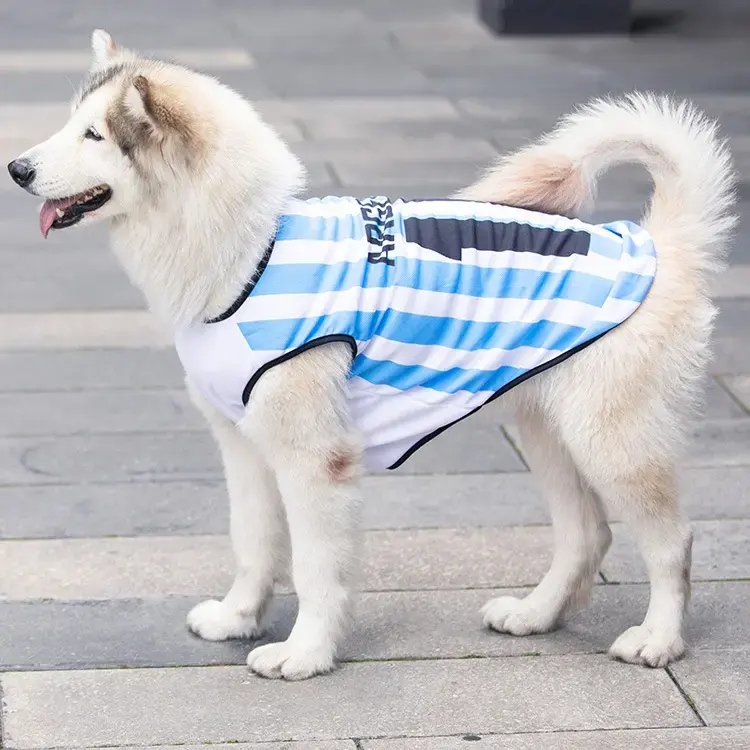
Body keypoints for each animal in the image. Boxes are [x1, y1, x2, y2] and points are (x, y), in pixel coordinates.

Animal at [10, 30, 740, 680]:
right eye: (71, 124)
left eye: (94, 136)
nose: (16, 170)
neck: (251, 253)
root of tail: (658, 245)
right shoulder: (244, 447)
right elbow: (253, 543)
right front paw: (240, 618)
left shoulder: (315, 461)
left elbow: (313, 568)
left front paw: (304, 655)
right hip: (547, 428)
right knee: (588, 535)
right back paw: (535, 615)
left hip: (612, 441)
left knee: (671, 542)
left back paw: (658, 641)